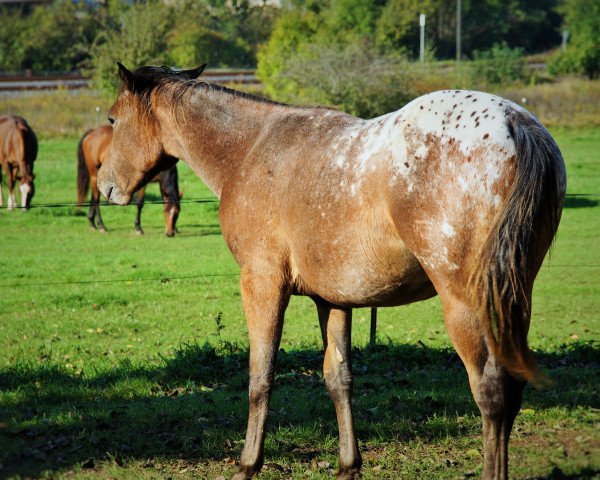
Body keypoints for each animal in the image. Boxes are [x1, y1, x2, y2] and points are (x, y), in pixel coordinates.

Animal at [96, 63, 564, 480]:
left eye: (113, 118)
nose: (105, 185)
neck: (249, 150)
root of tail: (515, 122)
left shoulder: (262, 284)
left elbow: (260, 377)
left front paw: (248, 464)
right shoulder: (333, 299)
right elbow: (339, 379)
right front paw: (348, 464)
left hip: (466, 306)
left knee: (491, 392)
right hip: (513, 299)